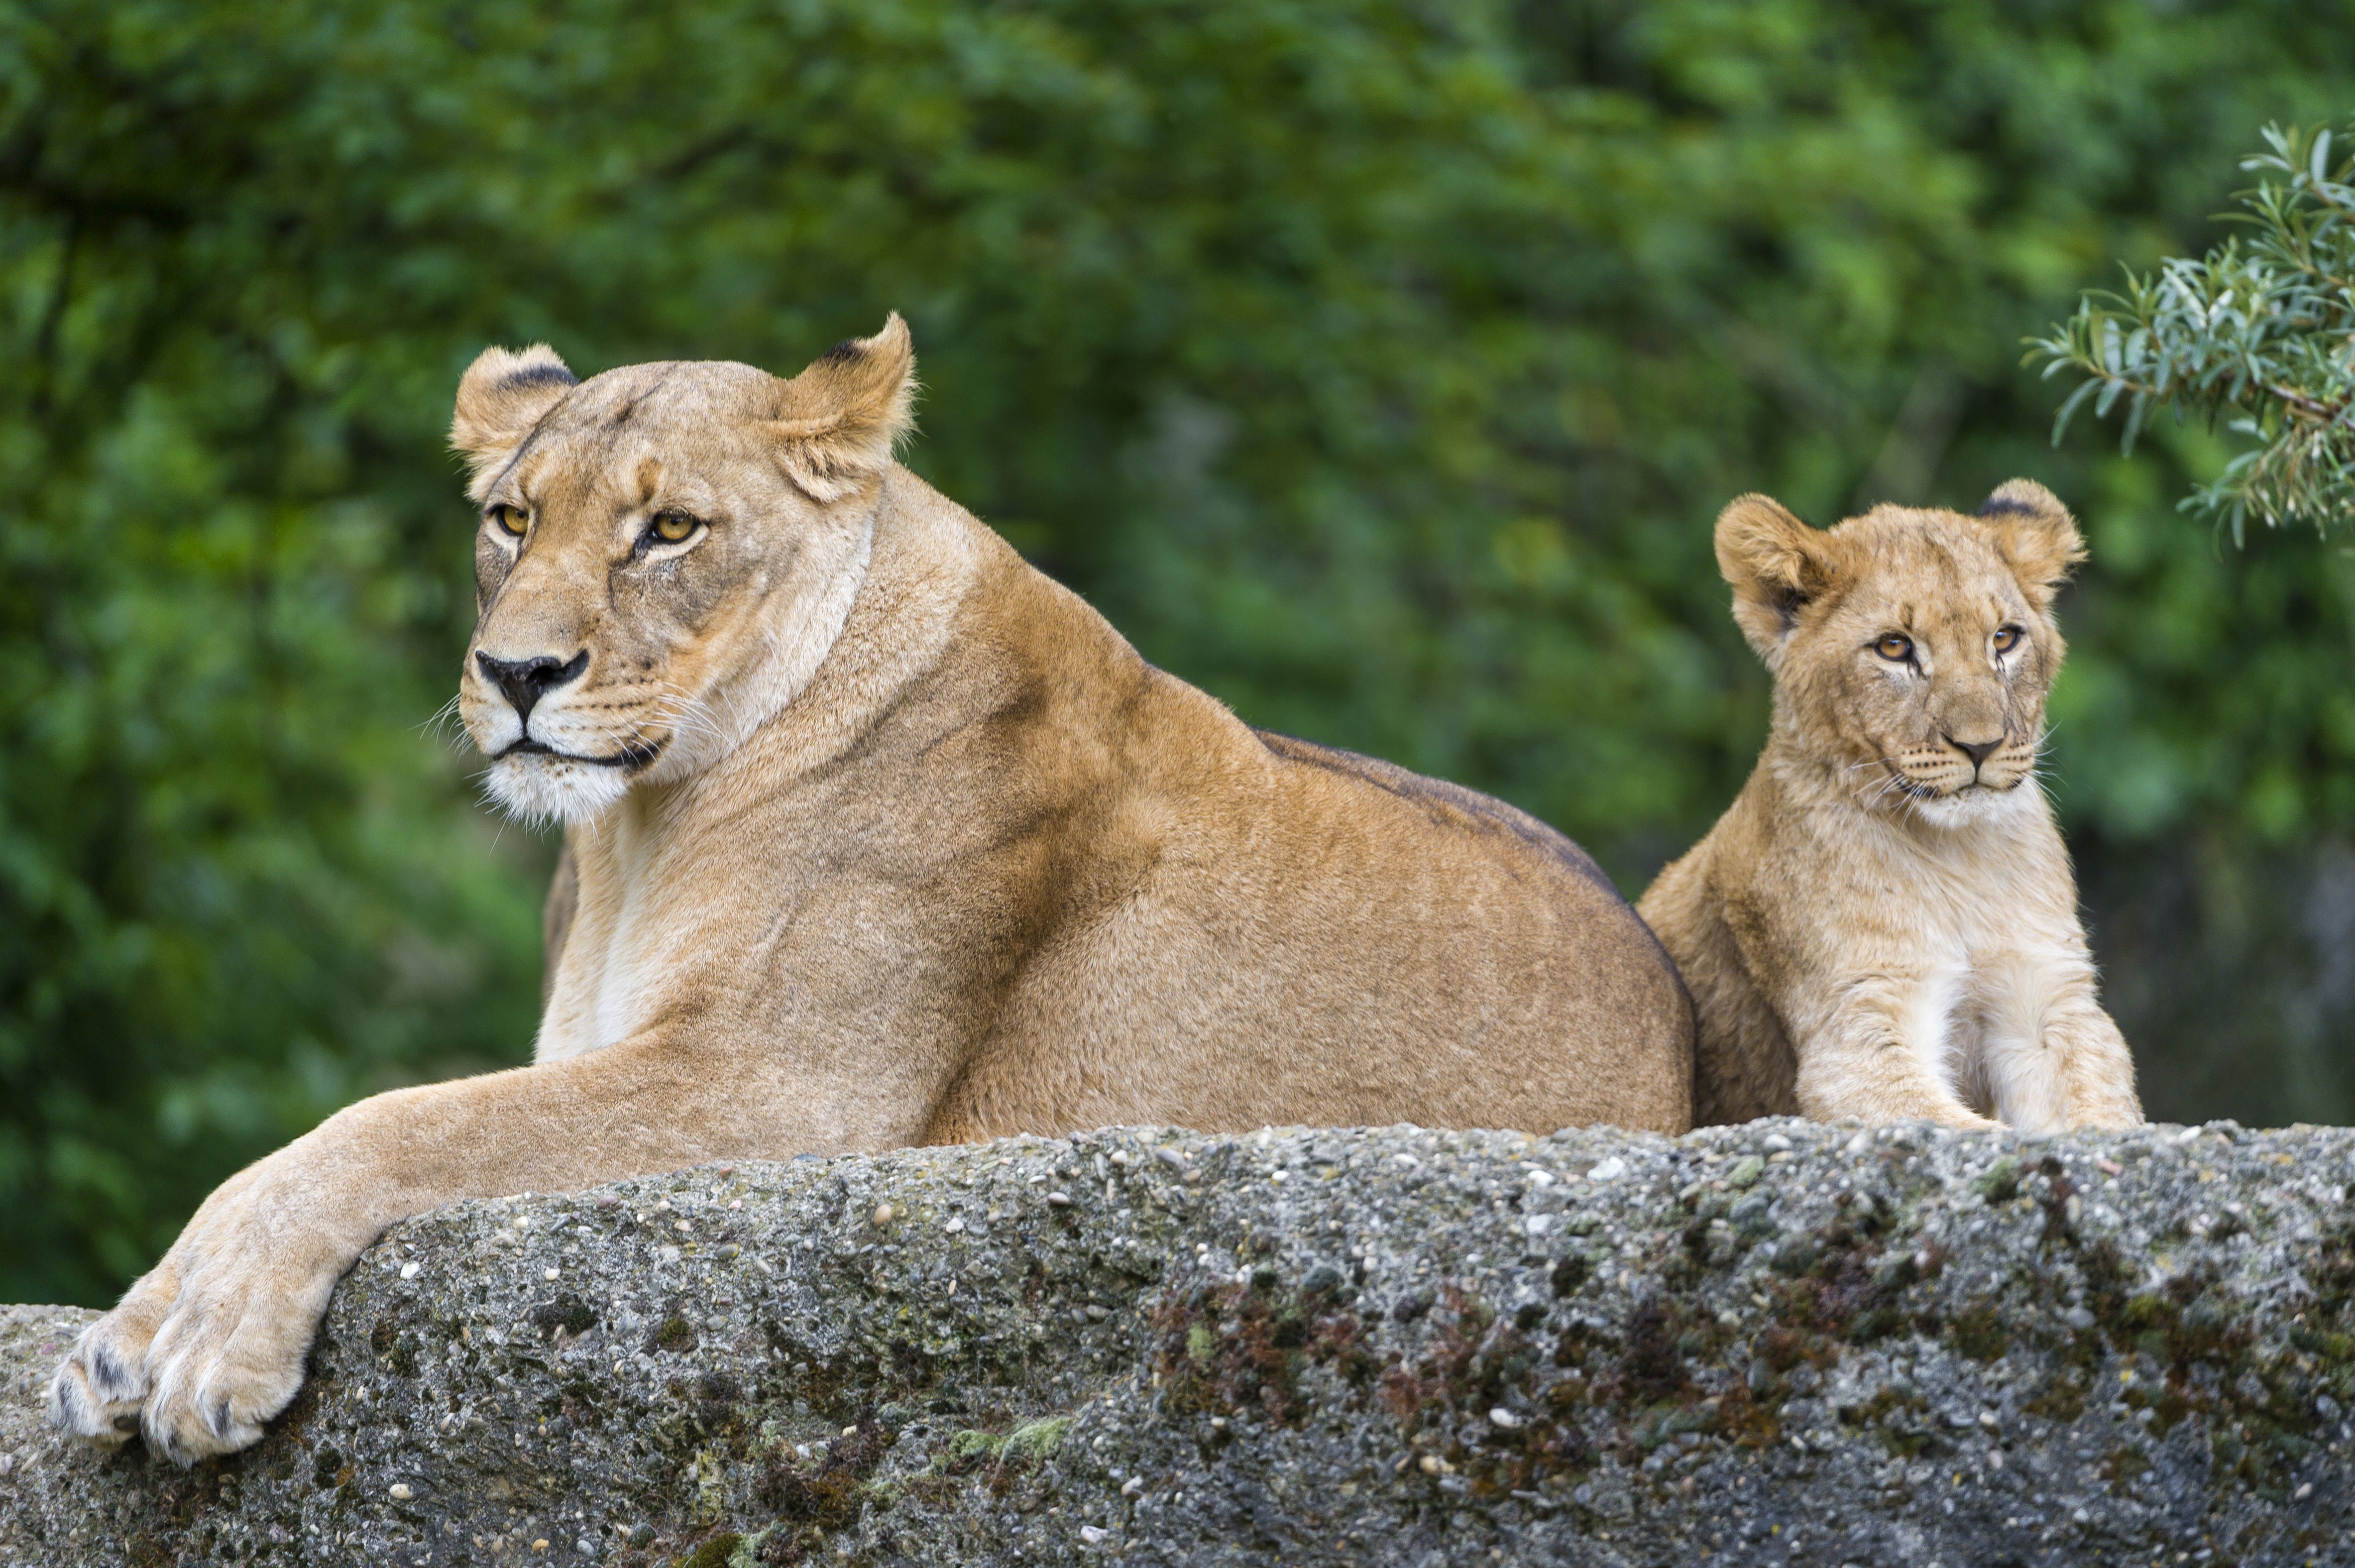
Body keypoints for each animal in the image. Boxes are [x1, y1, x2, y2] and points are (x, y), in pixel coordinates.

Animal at [49, 315, 1693, 1462]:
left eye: (668, 529)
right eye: (513, 520)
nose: (515, 674)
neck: (639, 833)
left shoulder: (787, 1091)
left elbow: (391, 1126)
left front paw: (194, 1344)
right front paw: (130, 1337)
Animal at [1636, 481, 2142, 1133]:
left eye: (2004, 638)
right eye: (1895, 647)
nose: (1981, 746)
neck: (1960, 854)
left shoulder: (2050, 997)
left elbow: (2099, 1115)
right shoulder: (1857, 1024)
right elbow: (1960, 1128)